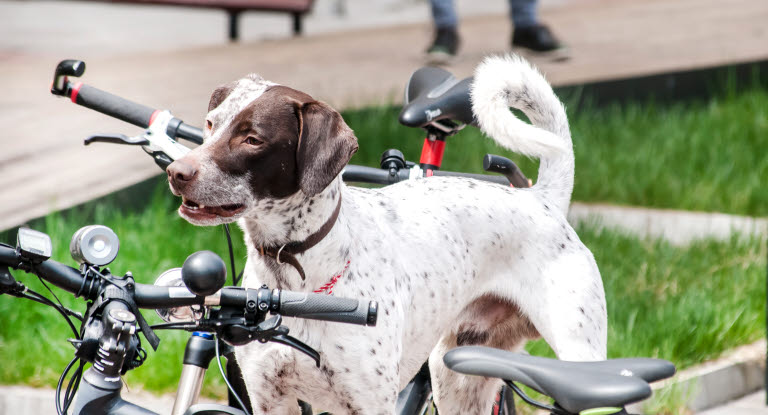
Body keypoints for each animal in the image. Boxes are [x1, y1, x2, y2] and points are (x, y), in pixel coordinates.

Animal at [168, 55, 608, 415]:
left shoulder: (371, 401)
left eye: (252, 138)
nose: (175, 172)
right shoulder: (268, 398)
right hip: (456, 374)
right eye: (210, 124)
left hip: (579, 360)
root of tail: (541, 198)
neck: (293, 284)